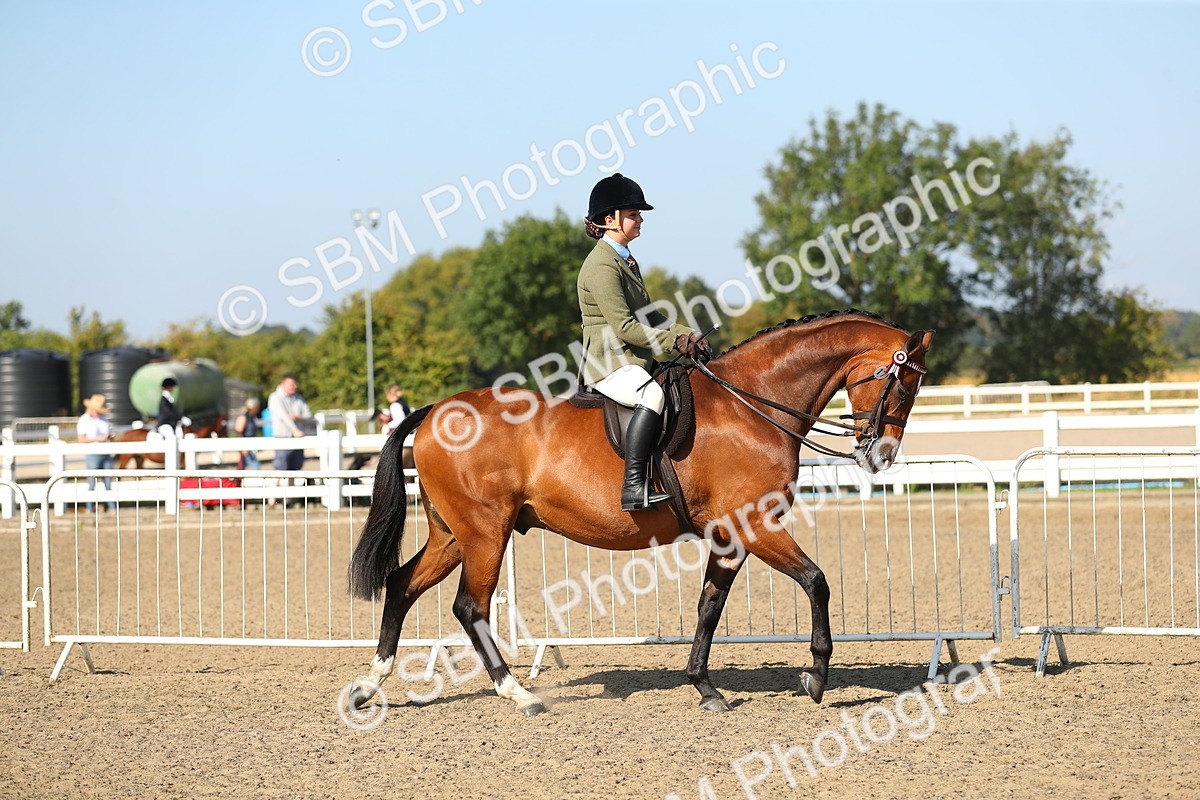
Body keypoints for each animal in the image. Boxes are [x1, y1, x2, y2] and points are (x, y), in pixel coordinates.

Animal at [346, 310, 934, 715]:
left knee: (401, 585)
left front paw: (704, 687)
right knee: (470, 607)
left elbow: (709, 606)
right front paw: (815, 677)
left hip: (452, 535)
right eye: (904, 383)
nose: (881, 457)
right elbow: (816, 581)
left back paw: (369, 685)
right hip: (485, 533)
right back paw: (520, 694)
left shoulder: (730, 535)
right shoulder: (755, 525)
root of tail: (434, 412)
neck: (752, 404)